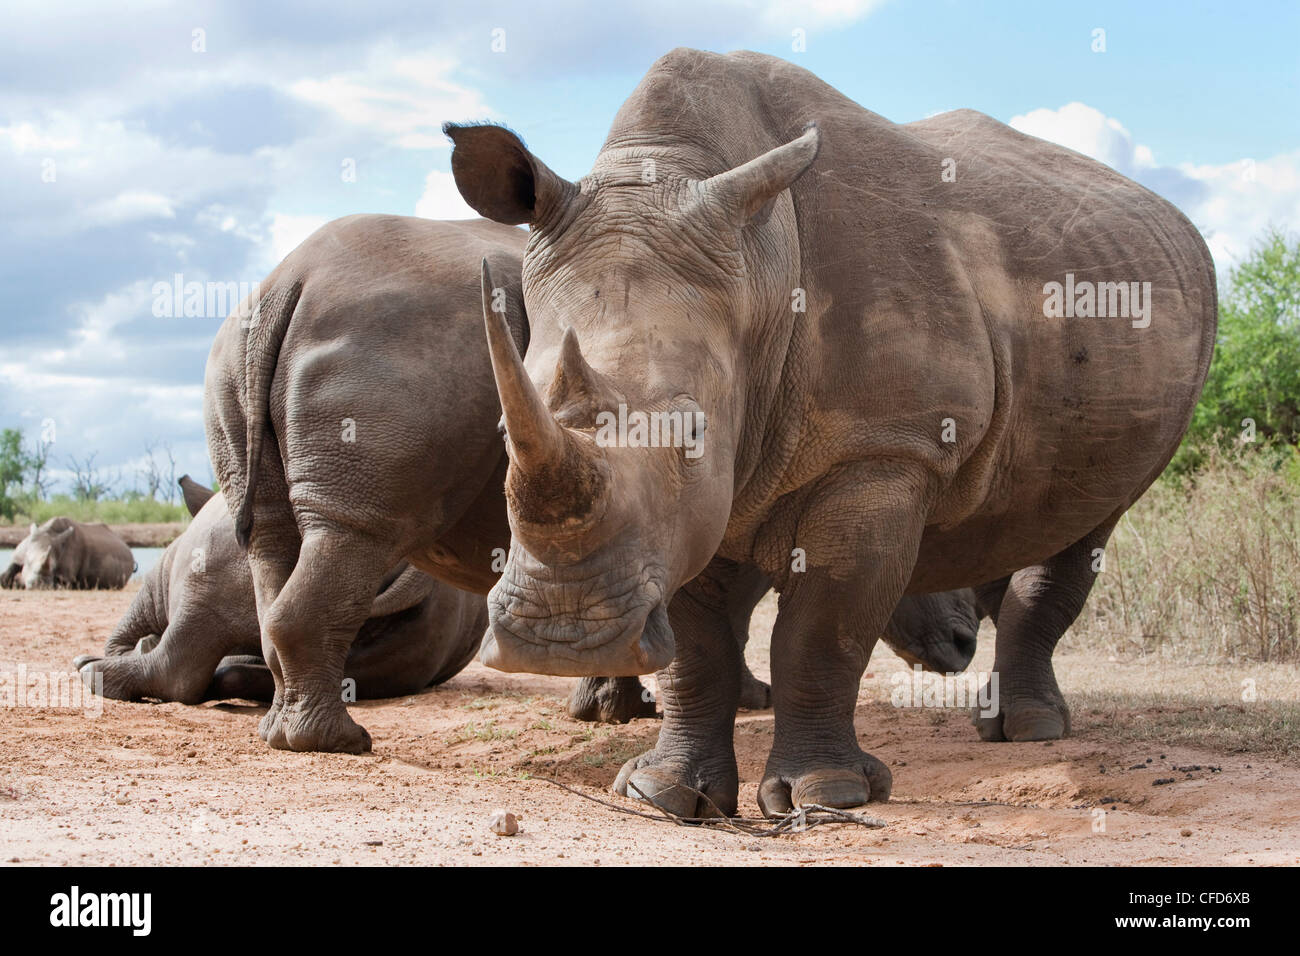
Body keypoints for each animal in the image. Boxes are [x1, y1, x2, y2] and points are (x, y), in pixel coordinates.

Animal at [0, 515, 134, 590]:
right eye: (27, 562)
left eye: (54, 568)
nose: (40, 585)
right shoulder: (20, 554)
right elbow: (5, 576)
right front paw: (15, 582)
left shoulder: (66, 575)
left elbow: (62, 584)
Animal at [205, 214, 982, 749]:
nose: (961, 648)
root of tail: (288, 284)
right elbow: (726, 607)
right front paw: (743, 701)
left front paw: (608, 708)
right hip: (388, 339)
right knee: (354, 531)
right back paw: (337, 743)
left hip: (240, 348)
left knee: (273, 535)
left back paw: (282, 730)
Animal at [444, 48, 1216, 816]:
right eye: (503, 431)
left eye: (692, 431)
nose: (559, 638)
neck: (757, 267)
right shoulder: (690, 507)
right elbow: (697, 645)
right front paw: (663, 793)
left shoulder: (884, 446)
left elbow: (823, 629)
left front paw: (825, 795)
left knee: (1085, 521)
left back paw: (1028, 732)